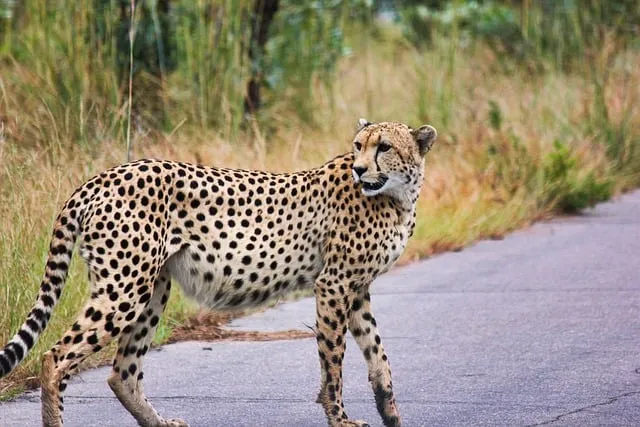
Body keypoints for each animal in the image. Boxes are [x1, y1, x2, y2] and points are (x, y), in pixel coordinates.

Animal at [0, 119, 437, 427]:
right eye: (358, 147)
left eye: (383, 147)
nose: (360, 170)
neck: (396, 195)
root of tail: (104, 175)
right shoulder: (335, 284)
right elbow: (334, 361)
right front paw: (341, 418)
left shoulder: (356, 288)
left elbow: (377, 352)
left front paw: (390, 412)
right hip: (124, 288)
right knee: (54, 359)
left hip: (151, 289)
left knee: (122, 371)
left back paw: (159, 423)